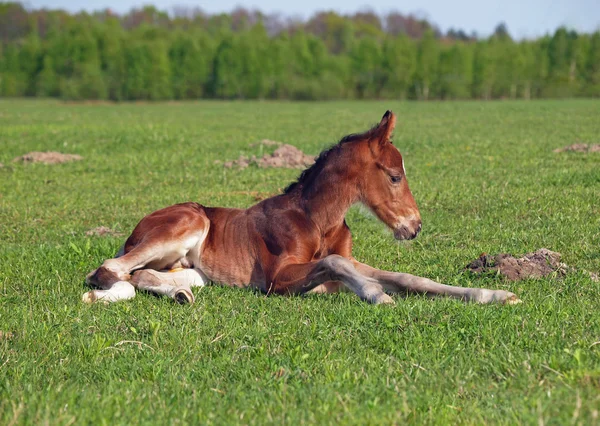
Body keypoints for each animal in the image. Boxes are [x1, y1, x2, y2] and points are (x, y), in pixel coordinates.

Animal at [84, 111, 520, 306]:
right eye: (396, 176)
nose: (414, 227)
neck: (317, 220)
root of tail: (135, 231)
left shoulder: (350, 259)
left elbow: (408, 276)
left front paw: (493, 293)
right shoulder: (277, 279)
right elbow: (335, 264)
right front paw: (376, 294)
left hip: (191, 270)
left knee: (143, 275)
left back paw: (179, 295)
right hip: (187, 222)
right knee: (110, 268)